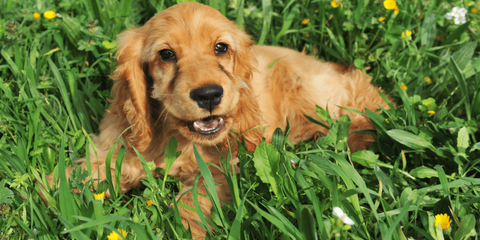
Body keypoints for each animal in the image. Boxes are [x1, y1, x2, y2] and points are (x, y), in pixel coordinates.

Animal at [46, 1, 390, 238]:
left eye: (220, 47)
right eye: (166, 54)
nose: (209, 95)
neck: (174, 135)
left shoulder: (222, 166)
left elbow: (195, 199)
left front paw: (184, 229)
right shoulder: (115, 145)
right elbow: (80, 174)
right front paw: (49, 193)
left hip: (312, 94)